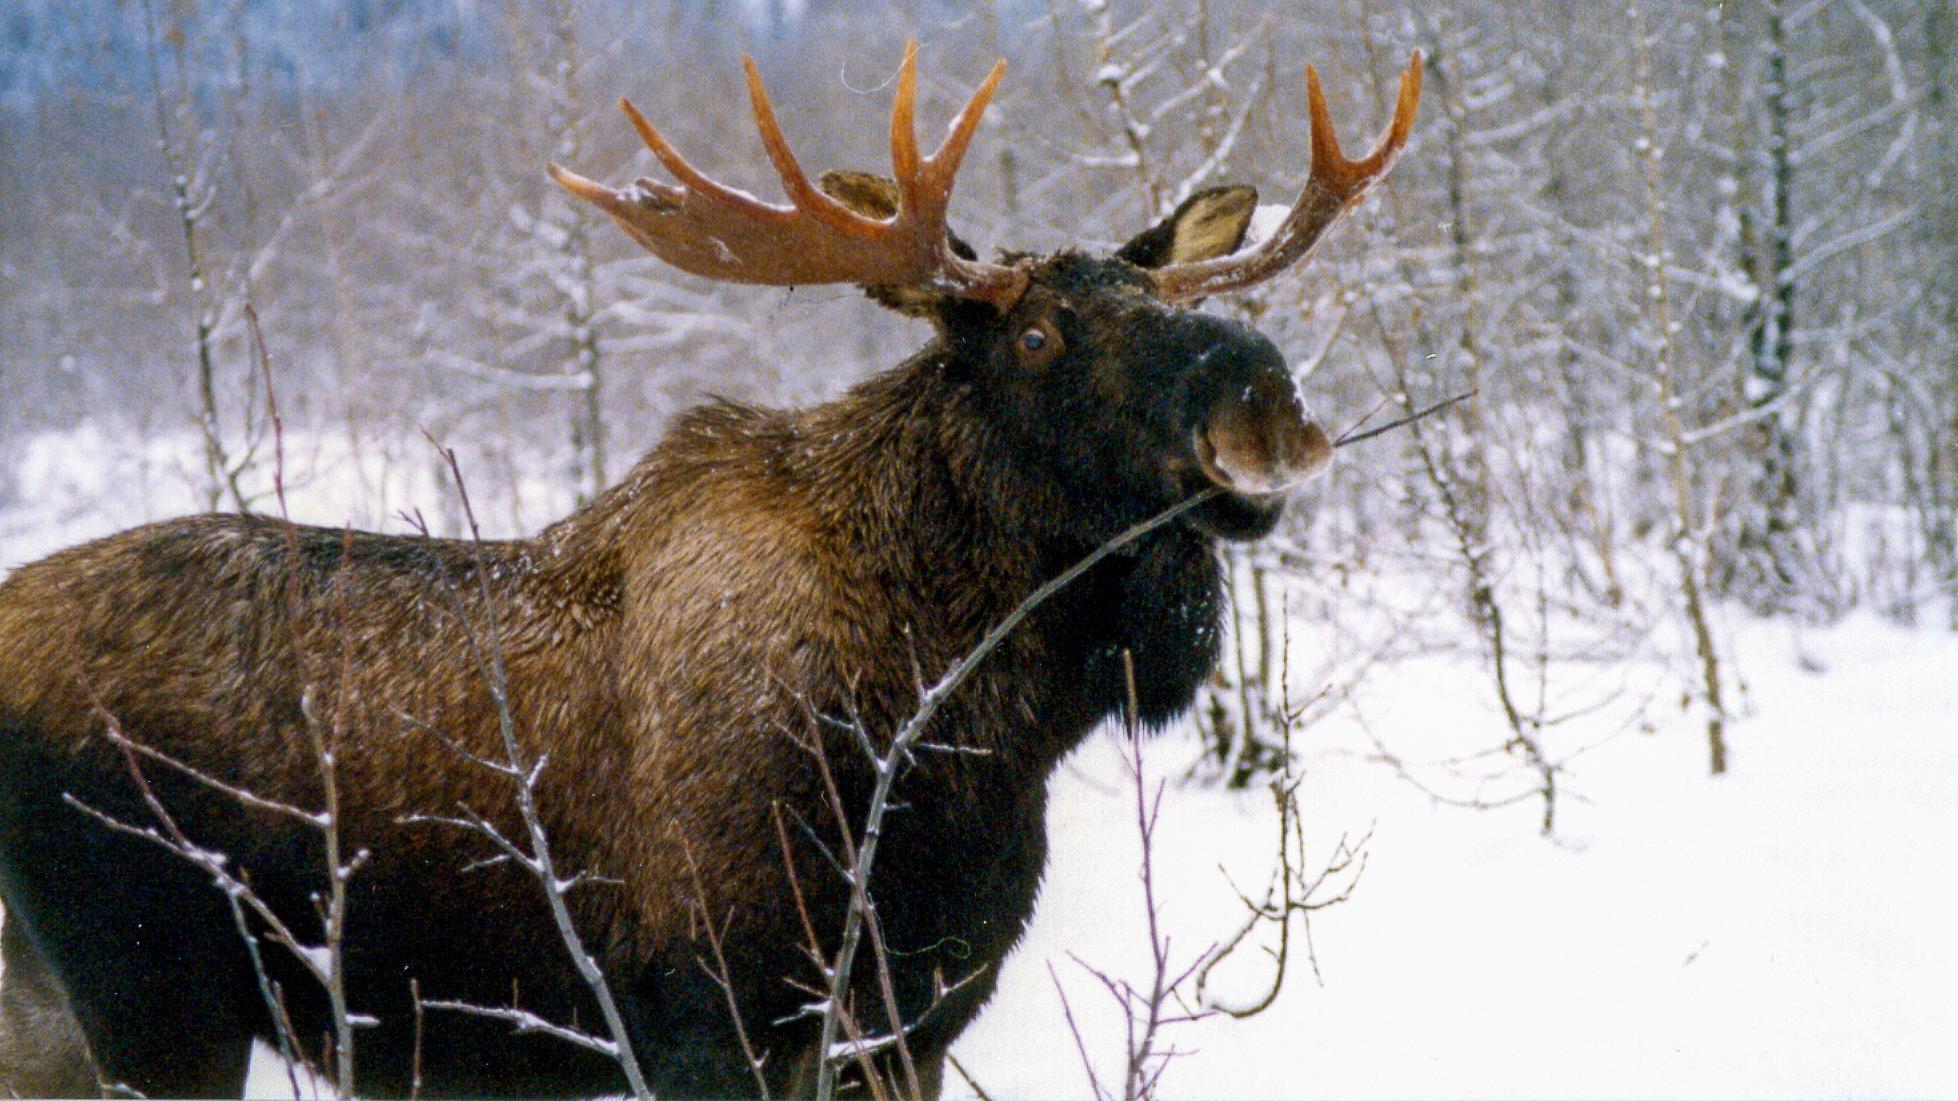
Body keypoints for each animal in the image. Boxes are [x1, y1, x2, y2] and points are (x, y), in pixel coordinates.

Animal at [0, 42, 1420, 1099]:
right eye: (1033, 334)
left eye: (1177, 302)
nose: (1261, 392)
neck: (970, 729)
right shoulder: (712, 1016)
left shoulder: (915, 1015)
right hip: (152, 996)